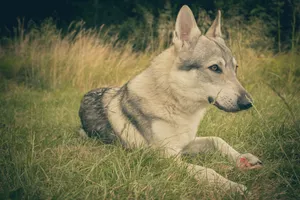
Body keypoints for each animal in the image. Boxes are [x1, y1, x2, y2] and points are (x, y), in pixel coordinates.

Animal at [79, 5, 262, 194]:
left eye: (236, 68)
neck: (178, 107)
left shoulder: (186, 144)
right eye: (215, 68)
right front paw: (233, 186)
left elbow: (217, 140)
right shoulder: (167, 157)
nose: (249, 103)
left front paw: (244, 157)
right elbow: (206, 170)